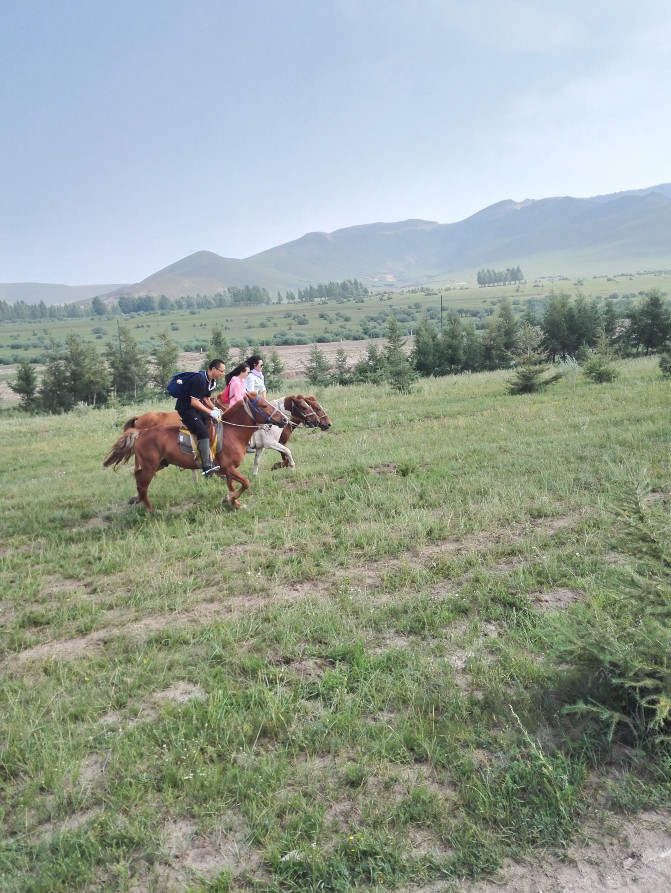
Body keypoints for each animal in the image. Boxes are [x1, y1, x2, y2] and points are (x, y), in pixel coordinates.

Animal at [103, 396, 288, 512]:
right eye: (264, 406)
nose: (285, 420)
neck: (231, 432)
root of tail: (141, 433)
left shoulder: (228, 470)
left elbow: (233, 486)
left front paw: (234, 502)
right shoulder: (229, 468)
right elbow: (246, 483)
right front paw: (229, 499)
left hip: (160, 464)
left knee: (138, 479)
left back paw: (137, 500)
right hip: (150, 466)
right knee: (142, 485)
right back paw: (150, 510)